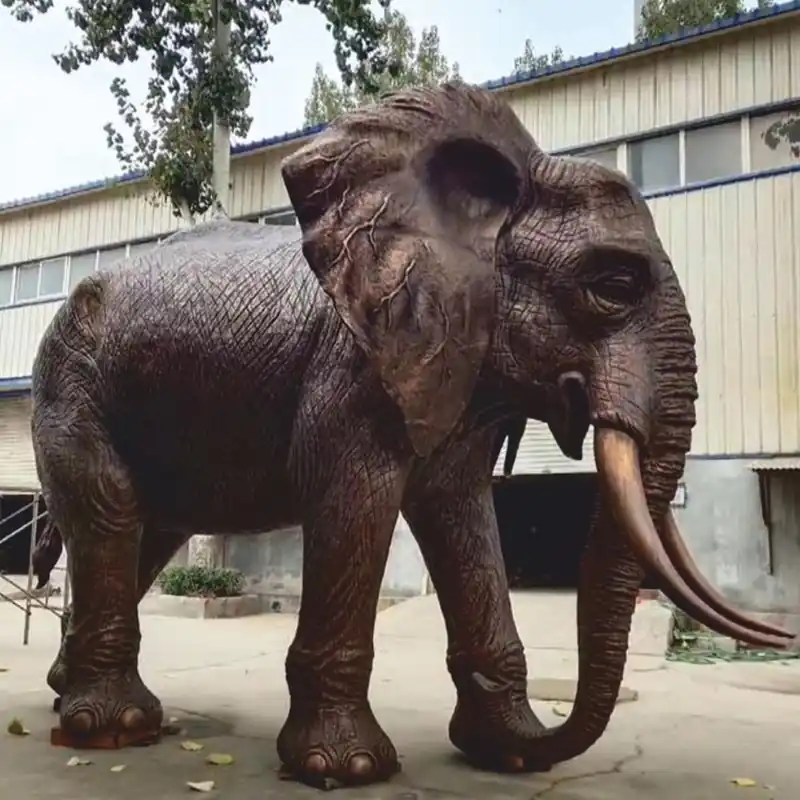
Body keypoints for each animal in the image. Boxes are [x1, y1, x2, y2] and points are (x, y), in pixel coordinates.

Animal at [30, 82, 795, 789]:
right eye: (613, 286)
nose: (543, 735)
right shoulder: (355, 367)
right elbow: (356, 501)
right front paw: (346, 768)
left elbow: (459, 509)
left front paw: (504, 749)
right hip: (69, 385)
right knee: (111, 509)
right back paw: (116, 727)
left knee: (148, 531)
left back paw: (70, 698)